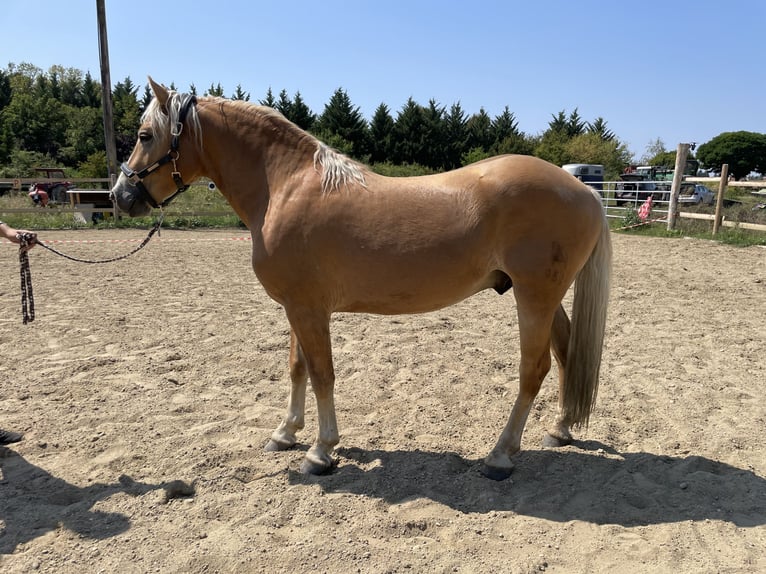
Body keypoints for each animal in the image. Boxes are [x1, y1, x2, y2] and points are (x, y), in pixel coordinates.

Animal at [112, 77, 612, 482]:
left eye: (144, 135)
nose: (121, 196)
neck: (285, 185)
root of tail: (584, 190)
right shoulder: (297, 307)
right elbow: (296, 367)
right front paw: (285, 433)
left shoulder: (308, 308)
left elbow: (322, 374)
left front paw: (320, 452)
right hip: (545, 297)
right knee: (565, 354)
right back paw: (560, 430)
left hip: (534, 296)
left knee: (534, 369)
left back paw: (500, 456)